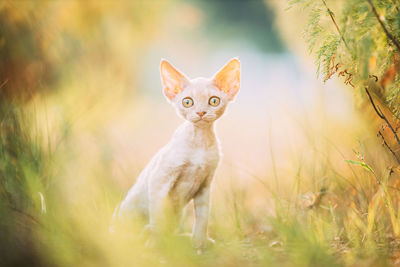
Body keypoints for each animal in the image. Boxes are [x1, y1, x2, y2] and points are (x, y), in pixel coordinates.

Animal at [115, 58, 241, 251]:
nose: (201, 112)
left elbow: (203, 218)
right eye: (187, 102)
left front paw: (199, 244)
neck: (200, 144)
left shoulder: (205, 185)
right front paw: (156, 245)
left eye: (214, 101)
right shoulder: (159, 180)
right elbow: (158, 218)